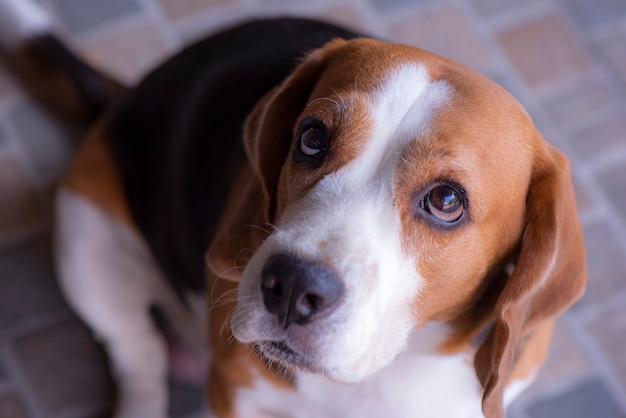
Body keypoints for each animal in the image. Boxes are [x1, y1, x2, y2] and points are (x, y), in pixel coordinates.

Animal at [0, 0, 584, 418]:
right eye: (311, 138)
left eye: (446, 201)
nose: (291, 286)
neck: (383, 374)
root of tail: (125, 96)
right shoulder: (234, 393)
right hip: (87, 247)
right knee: (138, 361)